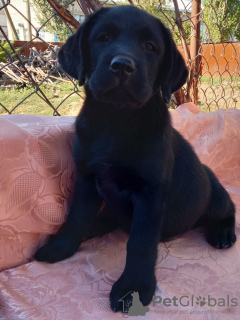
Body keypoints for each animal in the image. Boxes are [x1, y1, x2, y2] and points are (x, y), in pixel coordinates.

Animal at [34, 5, 236, 312]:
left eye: (150, 47)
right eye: (103, 38)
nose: (122, 66)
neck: (116, 120)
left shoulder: (149, 193)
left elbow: (139, 243)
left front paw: (133, 288)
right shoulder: (86, 178)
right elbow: (76, 216)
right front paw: (62, 246)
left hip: (212, 198)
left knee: (229, 207)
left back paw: (223, 232)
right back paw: (97, 225)